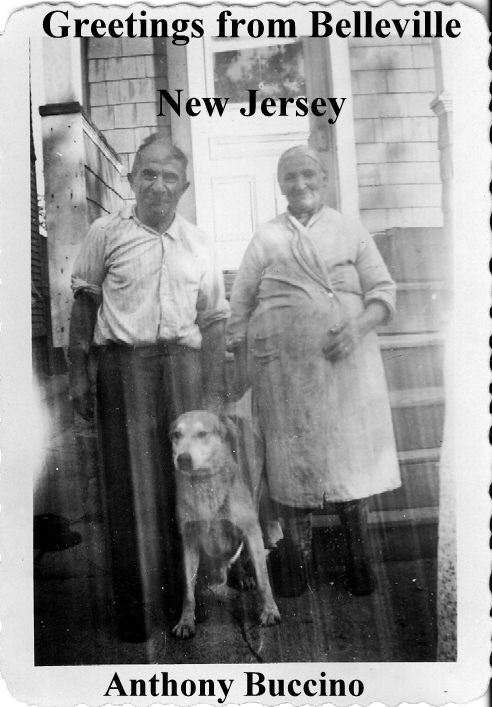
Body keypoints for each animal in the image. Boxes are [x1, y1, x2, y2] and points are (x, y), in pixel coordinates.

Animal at [170, 412, 280, 640]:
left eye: (202, 434)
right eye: (176, 434)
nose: (182, 459)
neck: (205, 484)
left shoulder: (251, 531)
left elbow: (264, 580)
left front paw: (270, 611)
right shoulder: (189, 540)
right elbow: (188, 591)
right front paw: (186, 621)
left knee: (240, 564)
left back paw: (243, 577)